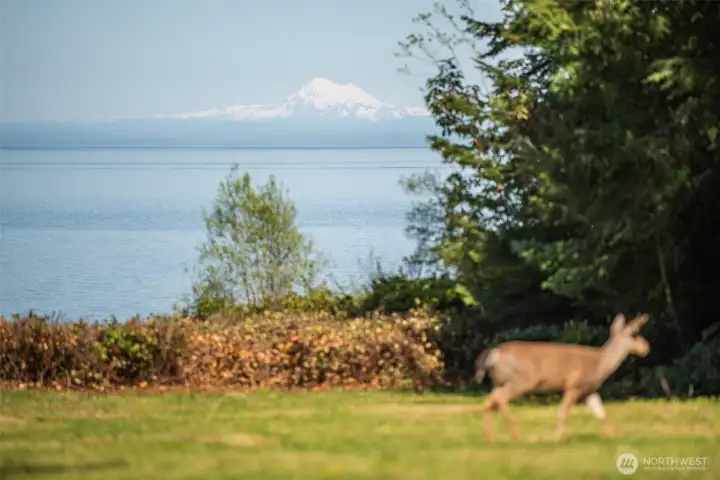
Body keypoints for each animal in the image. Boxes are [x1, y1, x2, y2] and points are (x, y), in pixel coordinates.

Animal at [474, 313, 650, 442]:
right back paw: (518, 436)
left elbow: (602, 414)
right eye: (634, 334)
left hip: (499, 381)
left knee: (489, 401)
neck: (600, 363)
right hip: (522, 380)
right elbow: (564, 412)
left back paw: (490, 438)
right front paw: (557, 438)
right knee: (500, 399)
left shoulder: (589, 391)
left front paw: (613, 438)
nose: (646, 348)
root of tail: (494, 353)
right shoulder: (574, 385)